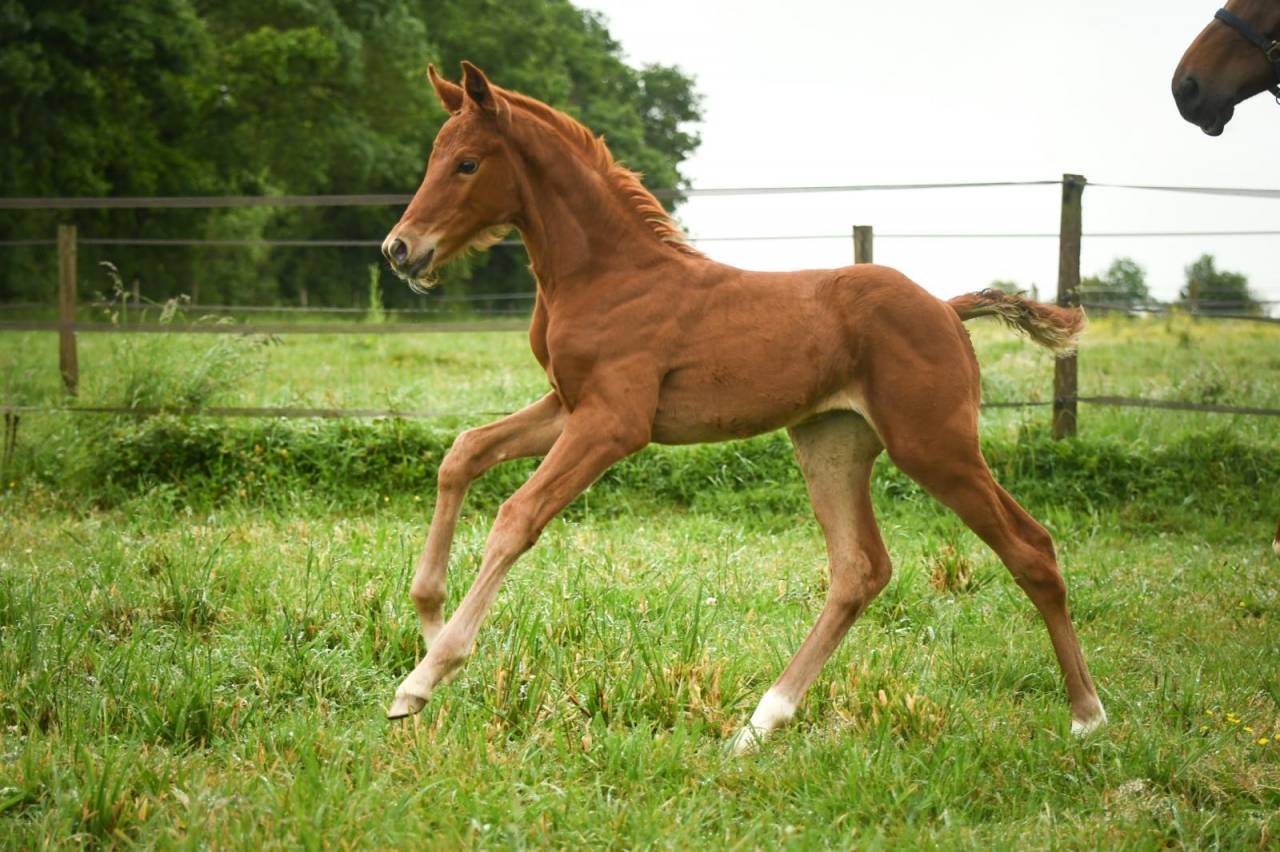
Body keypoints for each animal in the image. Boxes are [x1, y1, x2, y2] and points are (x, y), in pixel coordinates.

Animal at [380, 62, 1107, 753]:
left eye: (467, 163)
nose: (399, 249)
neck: (609, 276)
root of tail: (947, 309)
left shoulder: (613, 422)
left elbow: (516, 515)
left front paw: (424, 678)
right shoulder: (569, 406)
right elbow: (464, 452)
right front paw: (429, 618)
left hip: (935, 445)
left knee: (1030, 548)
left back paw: (1088, 717)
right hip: (832, 442)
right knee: (860, 569)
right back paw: (759, 725)